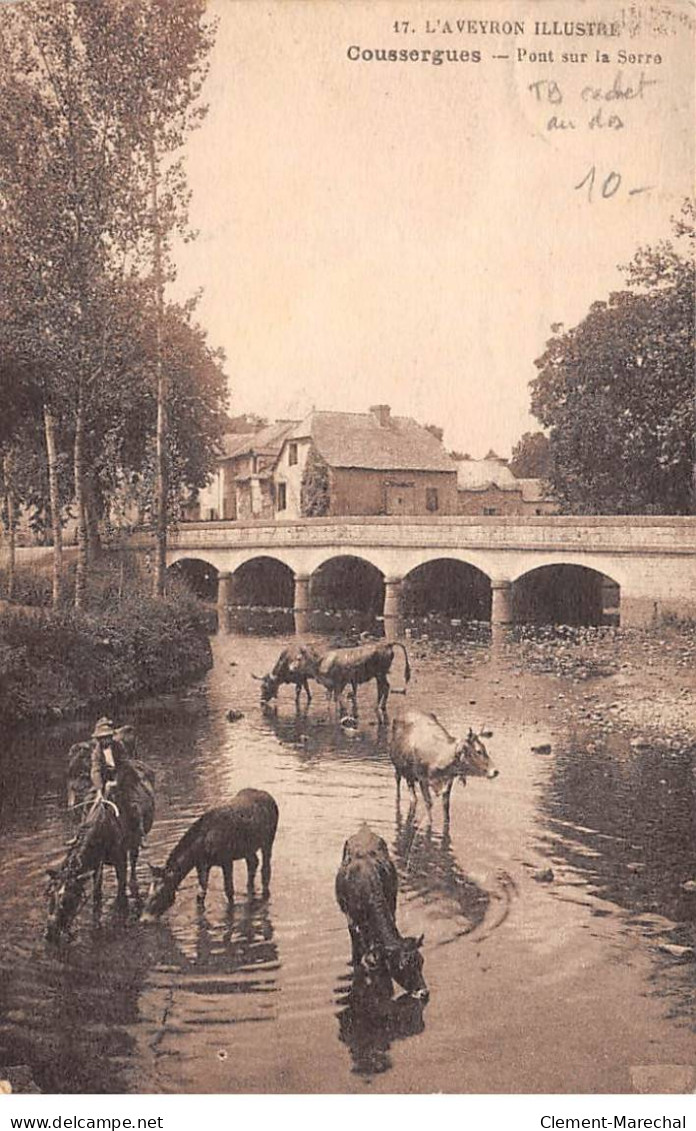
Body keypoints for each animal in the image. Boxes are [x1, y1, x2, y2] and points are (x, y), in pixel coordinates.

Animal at [334, 823, 427, 999]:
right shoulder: (352, 922)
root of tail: (364, 830)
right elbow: (357, 954)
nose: (424, 992)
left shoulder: (391, 907)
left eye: (421, 961)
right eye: (402, 966)